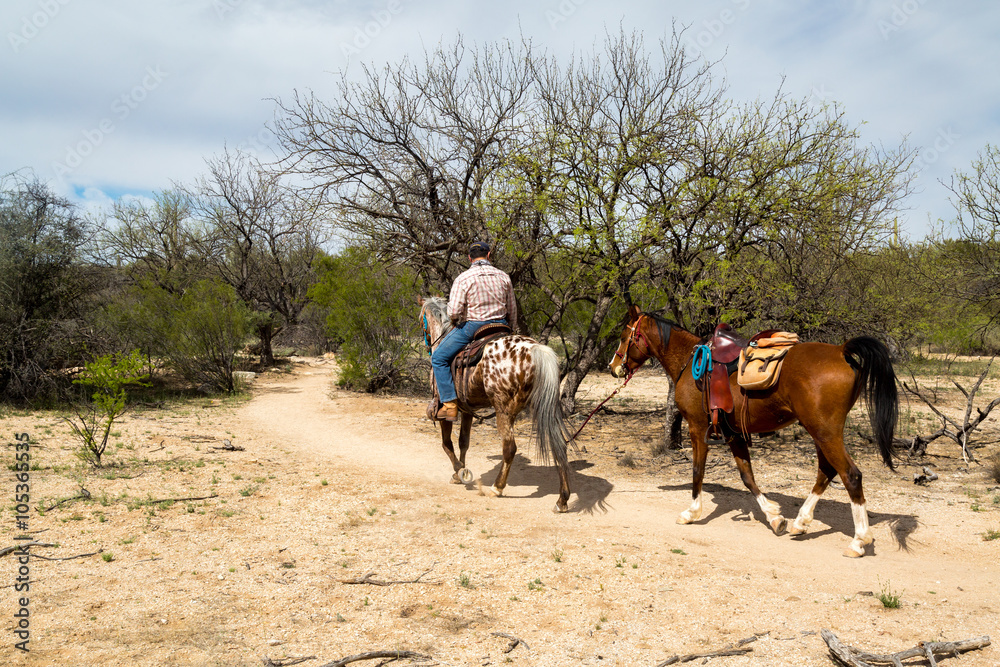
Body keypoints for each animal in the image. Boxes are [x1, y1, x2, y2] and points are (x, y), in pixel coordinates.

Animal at [416, 298, 572, 512]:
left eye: (422, 320)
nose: (427, 343)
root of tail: (536, 350)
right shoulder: (467, 410)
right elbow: (463, 442)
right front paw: (460, 472)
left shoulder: (444, 414)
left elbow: (446, 444)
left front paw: (460, 472)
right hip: (547, 407)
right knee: (560, 445)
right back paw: (562, 499)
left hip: (503, 410)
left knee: (510, 448)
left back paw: (497, 488)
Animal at [608, 308, 900, 560]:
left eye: (623, 336)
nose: (613, 366)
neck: (690, 362)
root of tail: (841, 351)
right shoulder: (733, 434)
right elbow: (747, 476)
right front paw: (774, 517)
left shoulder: (697, 428)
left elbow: (697, 471)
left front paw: (691, 512)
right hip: (819, 432)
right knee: (826, 471)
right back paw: (801, 522)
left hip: (825, 432)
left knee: (850, 475)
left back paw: (858, 541)